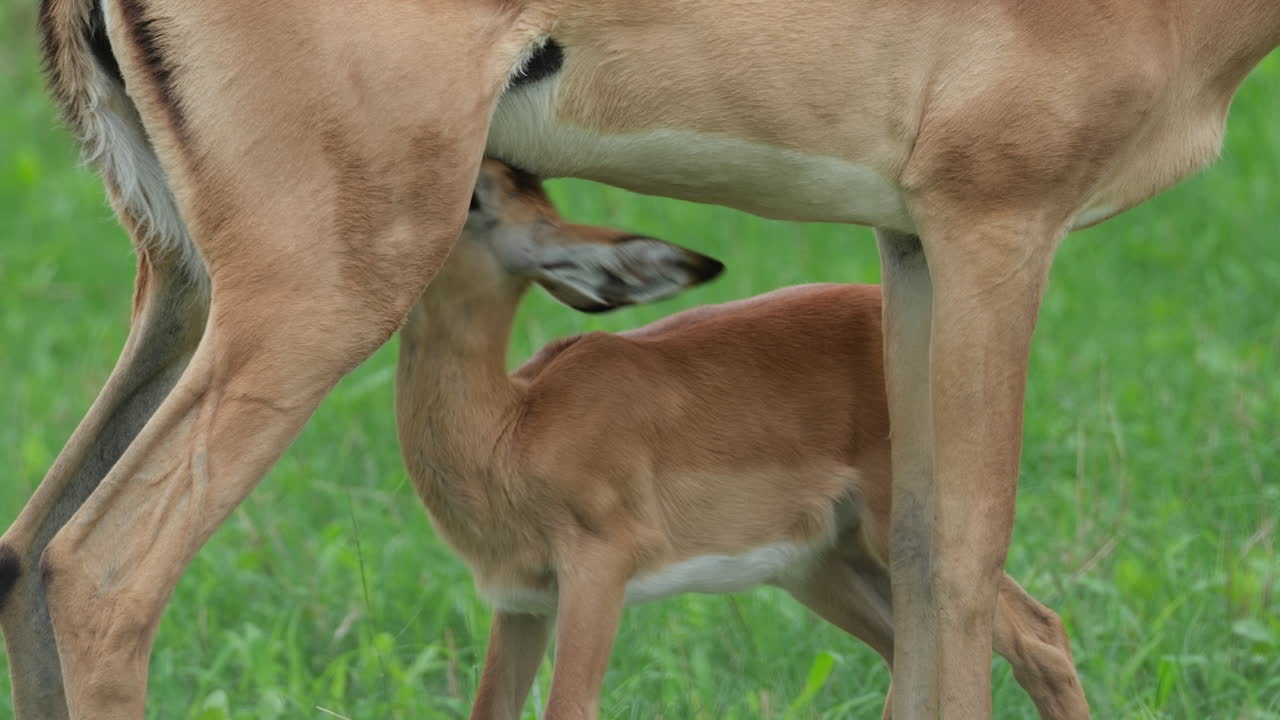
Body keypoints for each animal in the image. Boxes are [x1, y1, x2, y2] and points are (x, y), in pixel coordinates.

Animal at [395, 159, 1088, 720]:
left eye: (476, 195)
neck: (514, 425)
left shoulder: (598, 570)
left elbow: (570, 706)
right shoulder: (521, 601)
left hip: (901, 533)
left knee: (1040, 636)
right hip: (821, 564)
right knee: (908, 655)